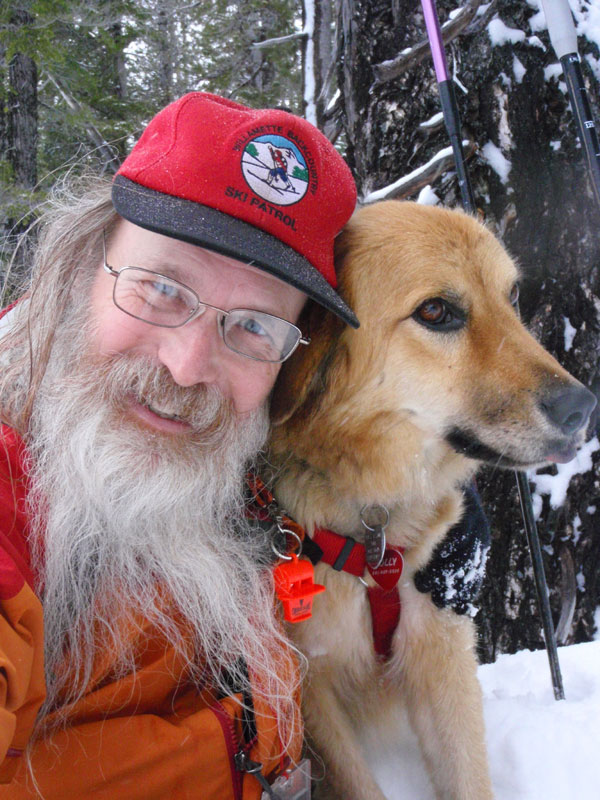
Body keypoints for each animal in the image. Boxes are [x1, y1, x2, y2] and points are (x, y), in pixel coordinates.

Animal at [268, 202, 596, 800]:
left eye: (512, 295)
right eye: (436, 311)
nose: (583, 408)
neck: (374, 523)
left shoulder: (439, 644)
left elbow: (466, 774)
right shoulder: (310, 684)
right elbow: (358, 784)